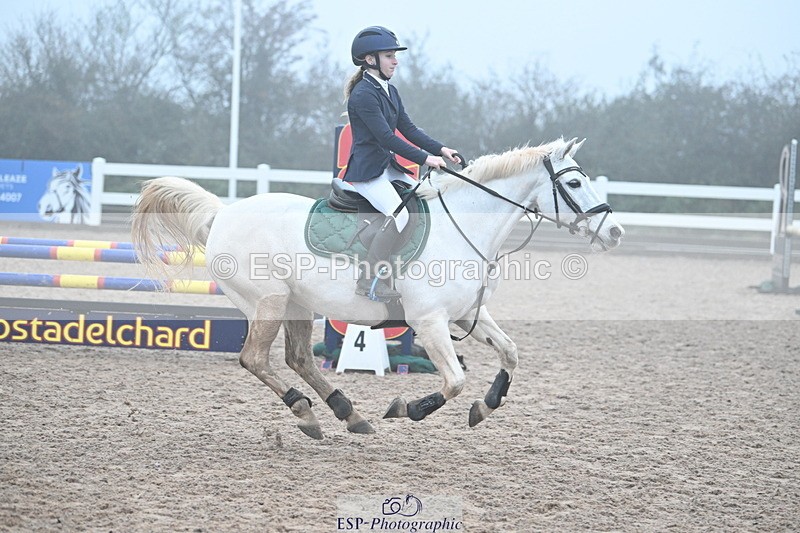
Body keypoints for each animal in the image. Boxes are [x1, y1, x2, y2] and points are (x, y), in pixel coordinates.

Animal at [131, 137, 624, 440]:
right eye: (574, 182)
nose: (616, 232)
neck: (463, 228)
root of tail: (224, 213)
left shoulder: (470, 313)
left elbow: (510, 353)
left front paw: (485, 406)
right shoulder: (430, 322)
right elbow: (455, 380)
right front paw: (408, 408)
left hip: (298, 305)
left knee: (298, 358)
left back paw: (348, 415)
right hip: (269, 302)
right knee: (255, 359)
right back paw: (306, 412)